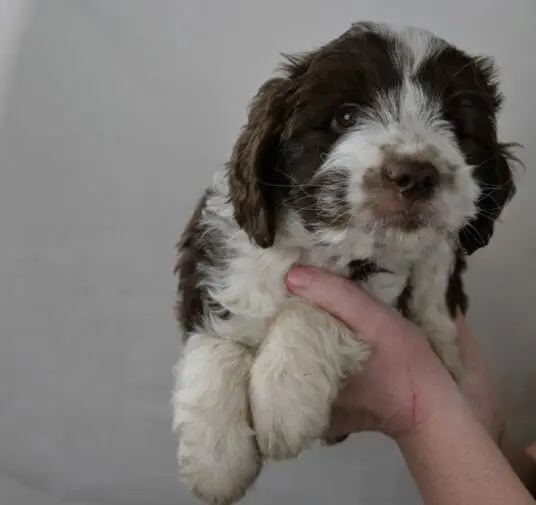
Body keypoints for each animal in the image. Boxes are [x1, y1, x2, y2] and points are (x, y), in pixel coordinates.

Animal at [173, 21, 520, 504]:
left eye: (455, 124)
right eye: (345, 117)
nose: (415, 175)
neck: (320, 246)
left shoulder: (385, 282)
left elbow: (314, 308)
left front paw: (284, 397)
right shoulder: (213, 250)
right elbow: (216, 336)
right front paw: (217, 459)